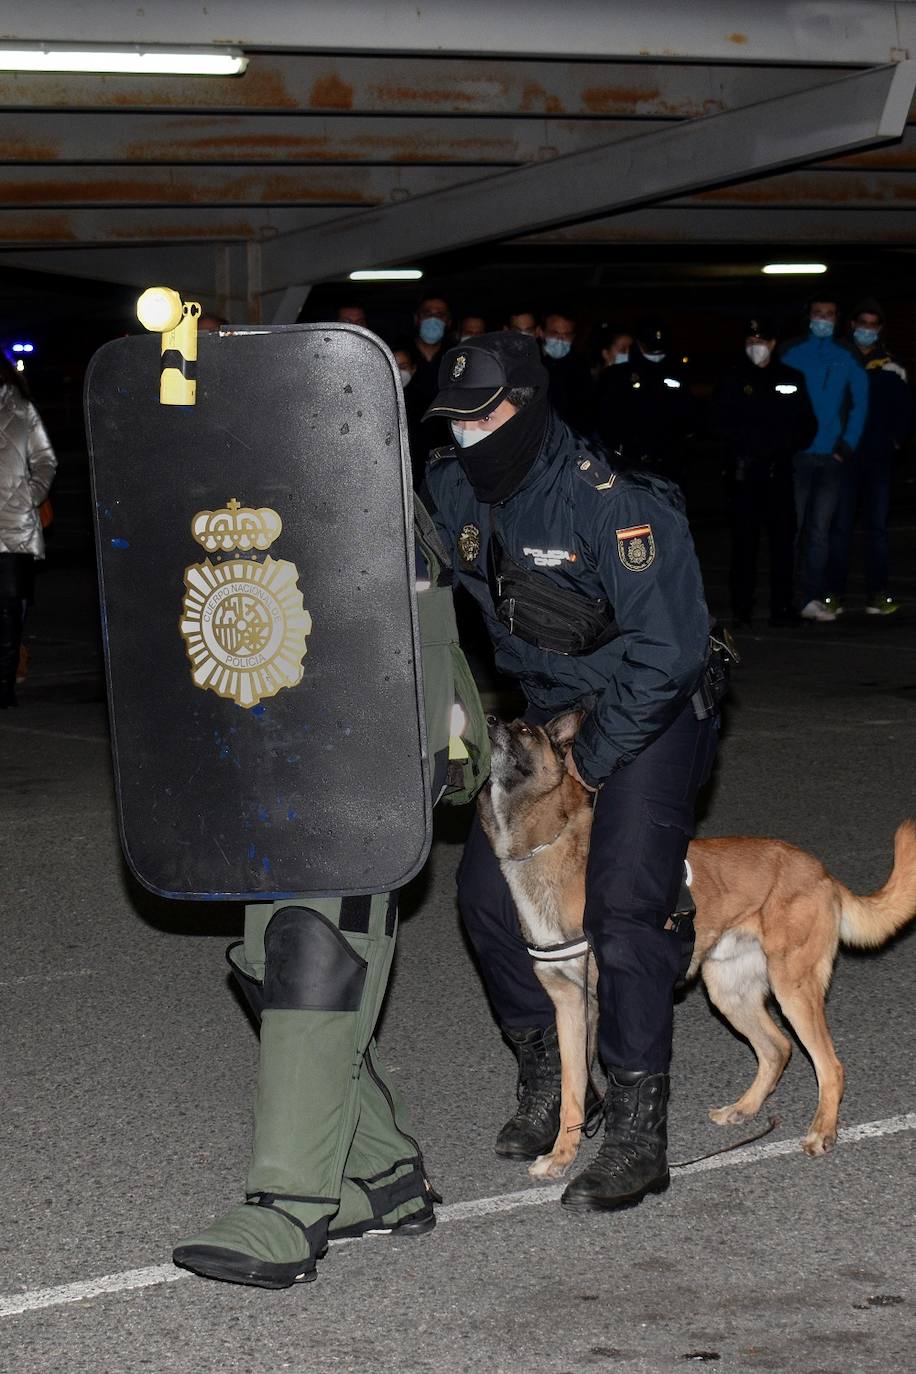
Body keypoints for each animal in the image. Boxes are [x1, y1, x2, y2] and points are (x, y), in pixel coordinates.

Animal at [477, 714, 916, 1176]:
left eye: (525, 730)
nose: (489, 719)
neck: (549, 847)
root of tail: (823, 873)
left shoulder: (608, 1002)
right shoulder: (569, 1008)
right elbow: (573, 1095)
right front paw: (562, 1156)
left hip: (793, 989)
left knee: (830, 1065)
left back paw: (821, 1131)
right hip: (728, 991)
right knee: (777, 1049)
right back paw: (743, 1109)